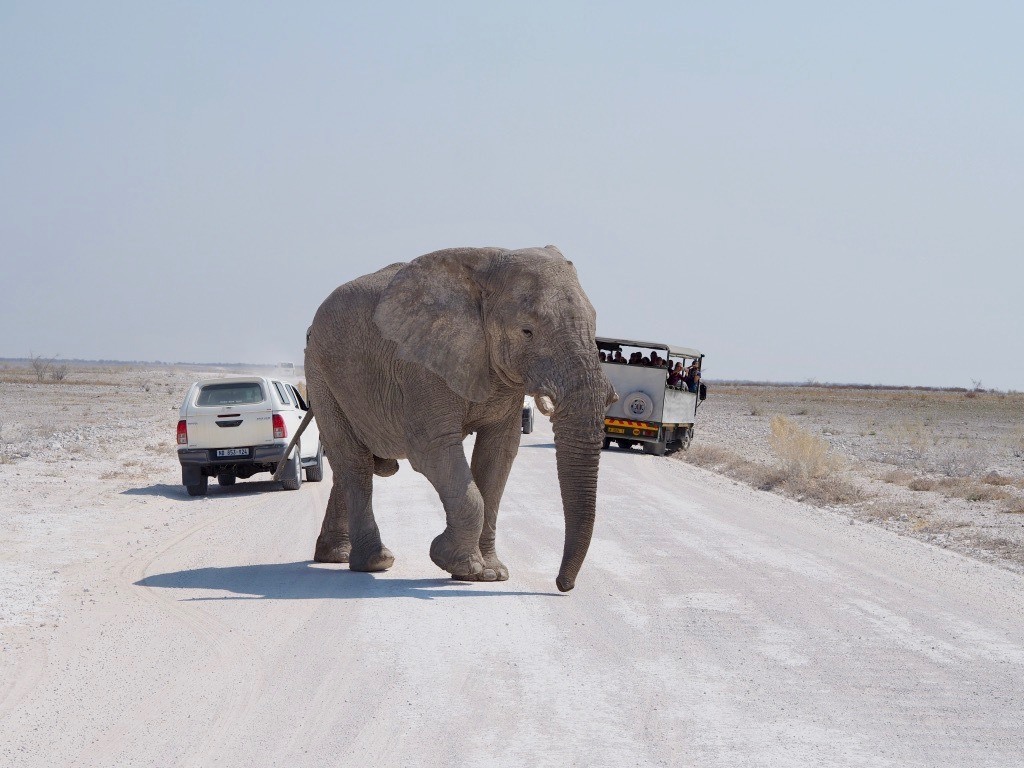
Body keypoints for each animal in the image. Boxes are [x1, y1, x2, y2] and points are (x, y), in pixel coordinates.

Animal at [299, 246, 610, 593]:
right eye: (527, 332)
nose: (562, 585)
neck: (487, 270)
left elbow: (499, 453)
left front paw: (492, 573)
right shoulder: (420, 365)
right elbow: (433, 450)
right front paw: (461, 566)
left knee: (349, 465)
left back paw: (334, 556)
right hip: (321, 375)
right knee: (354, 462)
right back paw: (375, 562)